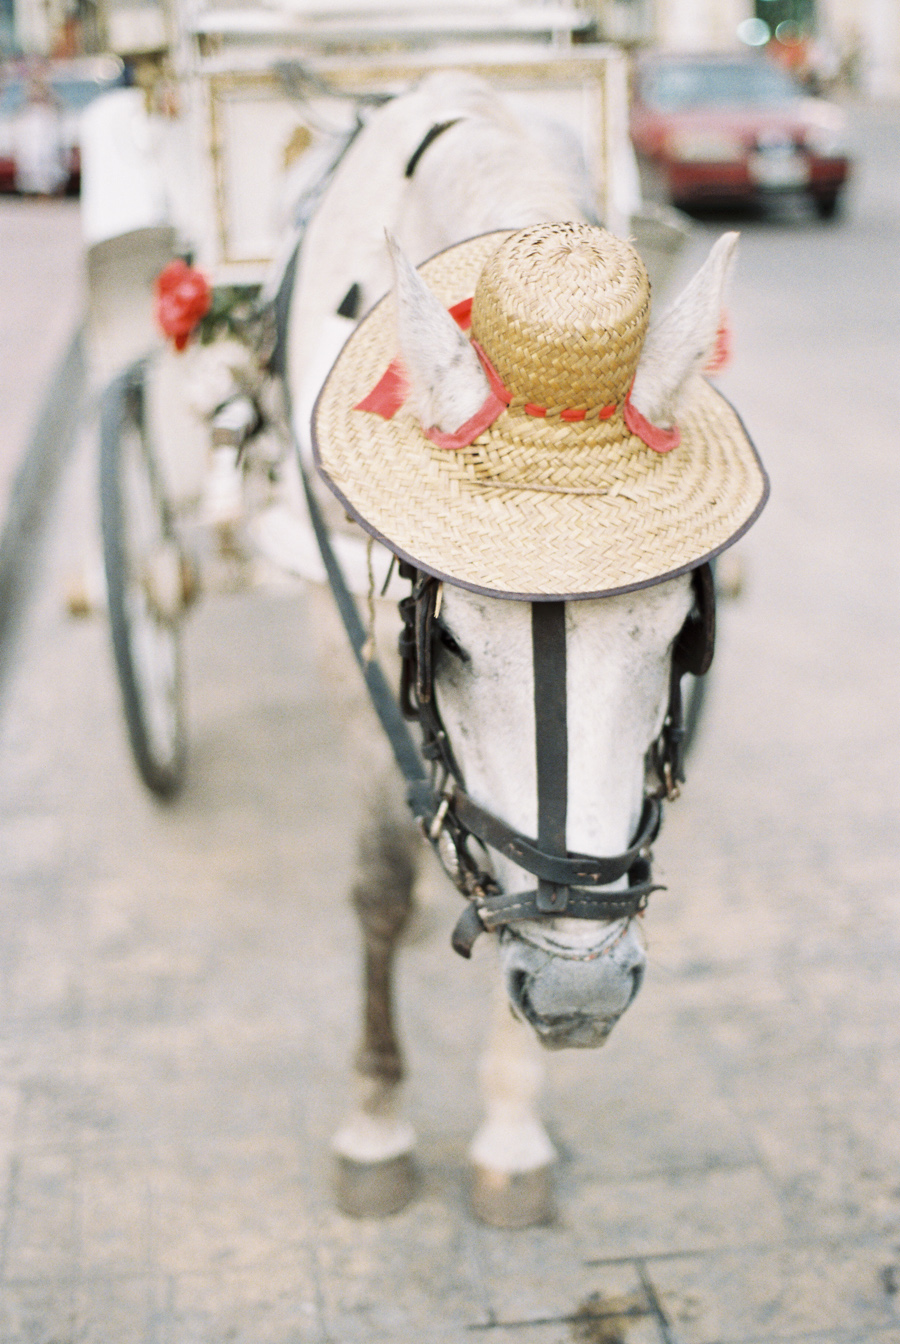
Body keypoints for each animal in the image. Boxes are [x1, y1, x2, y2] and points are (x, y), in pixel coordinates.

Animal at [286, 73, 741, 1231]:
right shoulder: (335, 618)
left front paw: (510, 1128)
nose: (583, 990)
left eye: (680, 633)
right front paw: (375, 1119)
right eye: (441, 638)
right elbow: (377, 883)